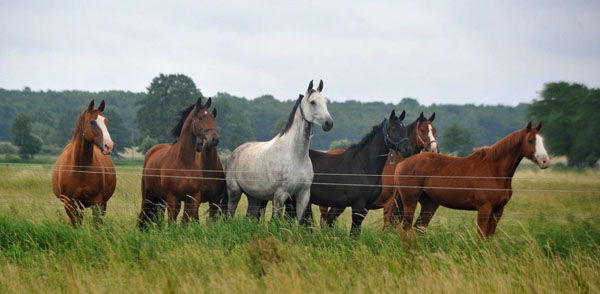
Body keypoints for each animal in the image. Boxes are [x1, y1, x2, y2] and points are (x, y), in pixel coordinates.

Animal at [138, 97, 220, 227]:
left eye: (213, 118)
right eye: (200, 118)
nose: (214, 139)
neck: (185, 163)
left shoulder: (192, 198)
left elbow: (184, 223)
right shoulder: (173, 198)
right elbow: (172, 222)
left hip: (160, 200)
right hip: (148, 197)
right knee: (142, 217)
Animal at [227, 79, 336, 224]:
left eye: (326, 102)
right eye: (313, 102)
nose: (329, 123)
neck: (295, 156)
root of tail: (235, 152)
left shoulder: (303, 195)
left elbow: (299, 222)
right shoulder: (279, 196)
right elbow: (276, 221)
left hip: (254, 197)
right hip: (234, 192)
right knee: (230, 214)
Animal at [394, 120, 548, 238]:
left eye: (542, 140)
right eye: (530, 140)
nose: (545, 161)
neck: (494, 171)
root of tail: (402, 164)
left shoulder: (497, 211)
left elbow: (489, 238)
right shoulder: (484, 209)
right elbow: (481, 237)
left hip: (429, 204)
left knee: (417, 228)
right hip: (410, 202)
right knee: (407, 229)